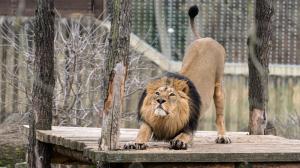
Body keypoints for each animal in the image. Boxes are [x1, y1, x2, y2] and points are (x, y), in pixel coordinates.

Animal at [123, 4, 231, 150]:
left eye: (172, 95)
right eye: (157, 93)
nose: (160, 101)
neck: (165, 119)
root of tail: (205, 38)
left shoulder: (190, 125)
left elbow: (185, 134)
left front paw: (179, 141)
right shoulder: (149, 121)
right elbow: (143, 131)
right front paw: (135, 142)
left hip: (219, 88)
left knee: (220, 116)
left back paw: (222, 136)